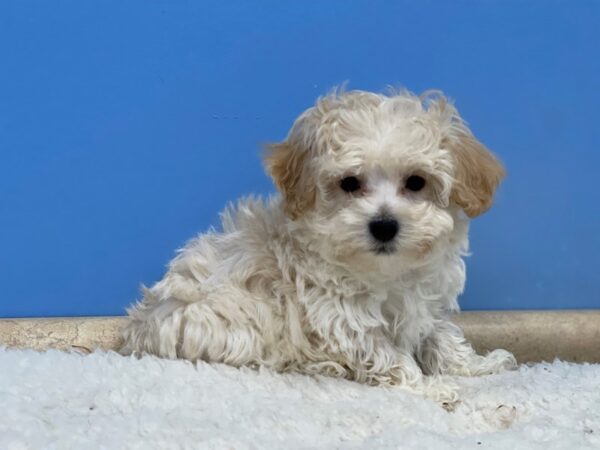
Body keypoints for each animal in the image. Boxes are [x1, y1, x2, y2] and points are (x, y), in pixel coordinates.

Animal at [120, 89, 516, 404]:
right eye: (350, 182)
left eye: (416, 182)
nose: (384, 225)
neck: (387, 272)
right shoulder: (342, 318)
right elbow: (390, 358)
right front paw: (431, 388)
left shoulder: (425, 303)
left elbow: (441, 337)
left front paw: (476, 366)